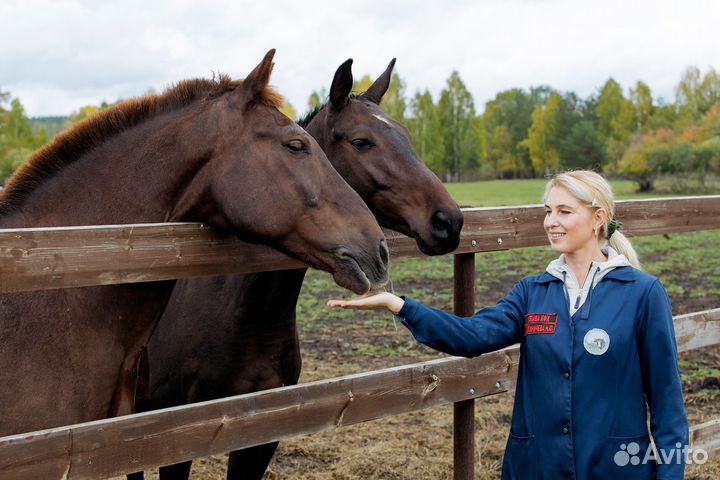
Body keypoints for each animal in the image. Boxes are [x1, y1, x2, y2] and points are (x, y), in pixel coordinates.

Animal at [132, 59, 464, 480]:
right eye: (361, 141)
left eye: (406, 134)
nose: (448, 221)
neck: (247, 316)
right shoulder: (174, 438)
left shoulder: (260, 434)